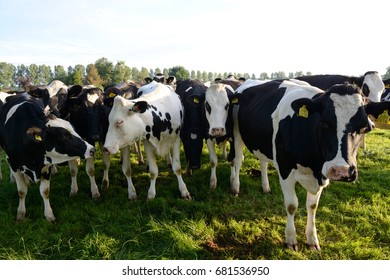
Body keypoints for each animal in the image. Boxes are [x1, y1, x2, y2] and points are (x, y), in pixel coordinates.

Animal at [0, 91, 94, 222]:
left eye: (74, 129)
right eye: (63, 136)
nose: (92, 149)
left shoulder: (46, 165)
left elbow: (45, 191)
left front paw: (49, 215)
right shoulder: (14, 164)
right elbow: (22, 191)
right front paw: (20, 213)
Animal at [229, 80, 390, 250]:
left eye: (365, 127)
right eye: (324, 123)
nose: (342, 171)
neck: (315, 165)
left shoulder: (321, 175)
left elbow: (312, 206)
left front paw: (312, 240)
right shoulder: (285, 169)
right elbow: (291, 205)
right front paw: (291, 239)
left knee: (263, 162)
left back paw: (266, 187)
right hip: (236, 135)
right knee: (237, 160)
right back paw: (235, 187)